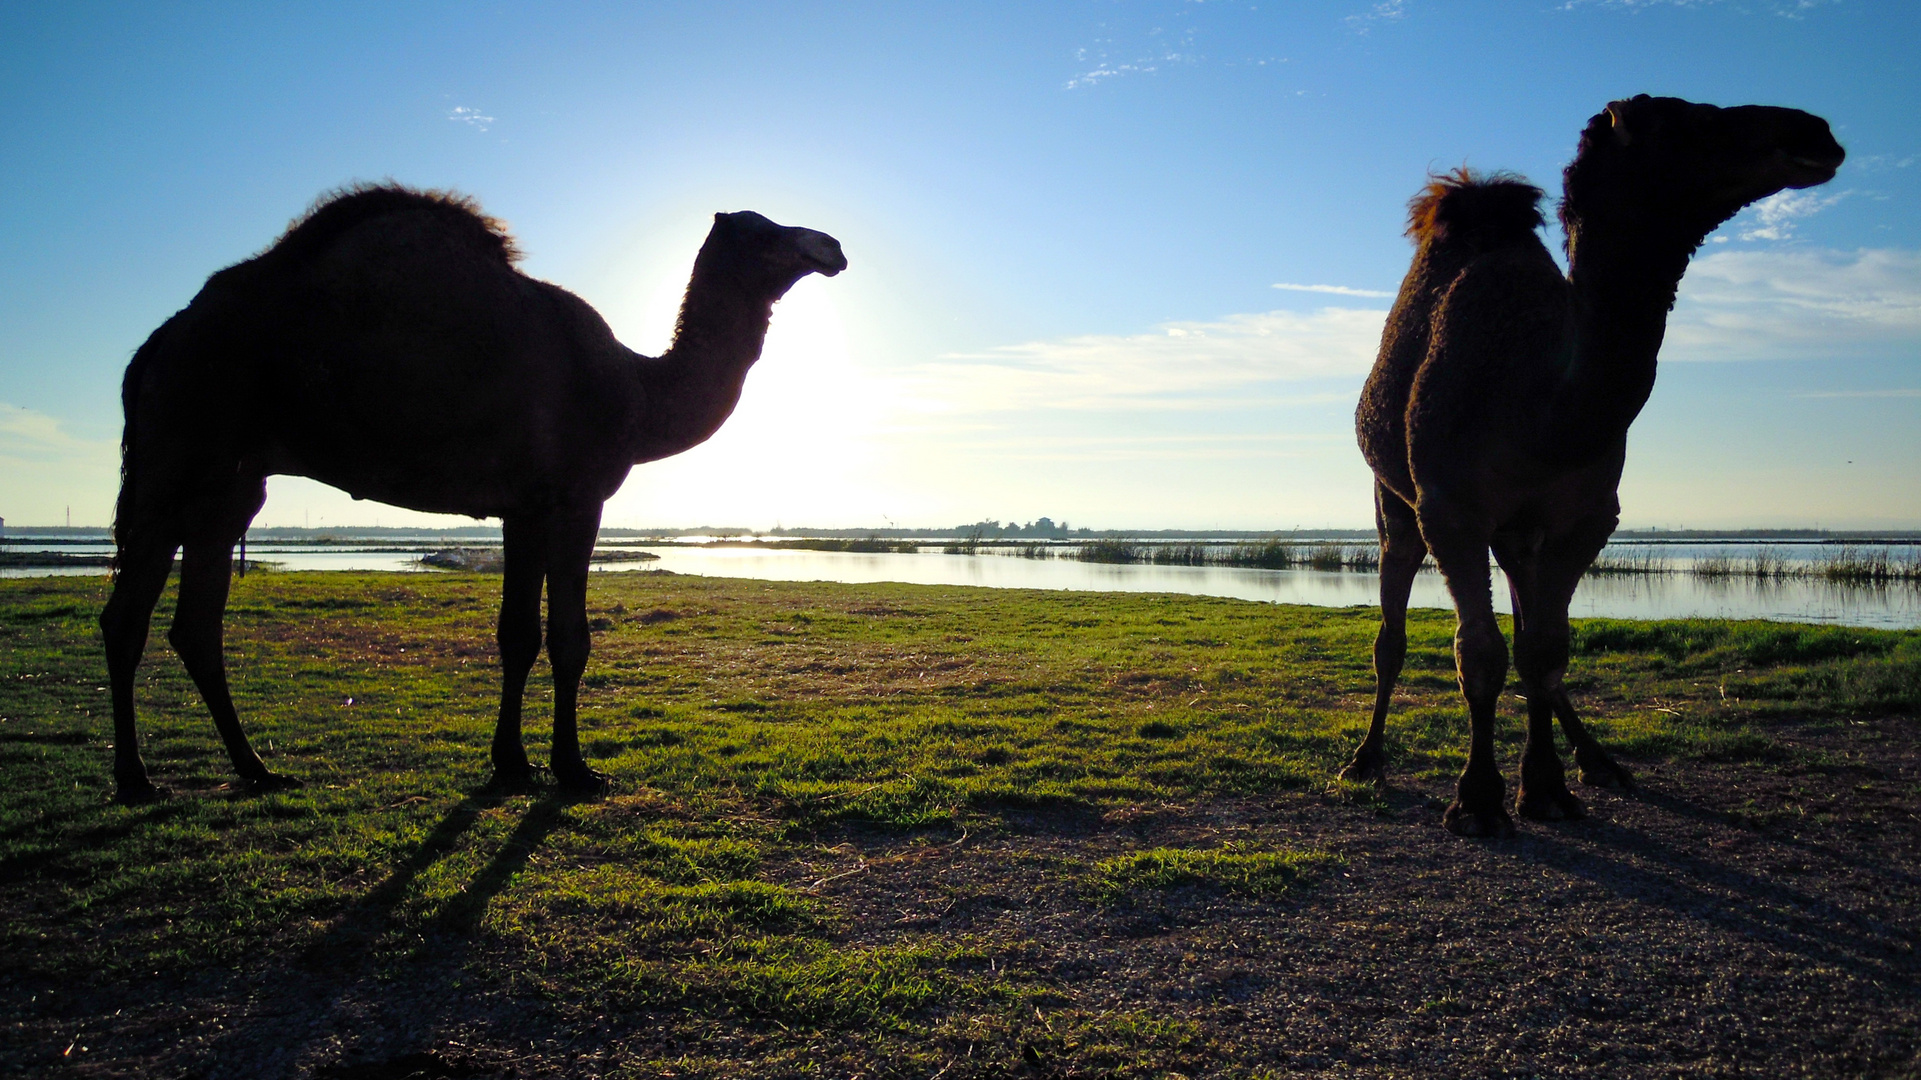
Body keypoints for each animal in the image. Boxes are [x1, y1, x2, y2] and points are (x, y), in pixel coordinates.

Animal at [99, 182, 849, 799]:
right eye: (762, 230)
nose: (831, 245)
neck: (639, 392)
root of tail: (153, 347)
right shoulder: (579, 496)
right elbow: (570, 636)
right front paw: (574, 769)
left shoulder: (524, 505)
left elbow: (516, 633)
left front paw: (511, 763)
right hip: (175, 457)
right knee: (126, 616)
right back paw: (135, 779)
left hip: (228, 483)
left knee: (197, 620)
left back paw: (256, 768)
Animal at [1337, 96, 1844, 834]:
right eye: (1682, 122)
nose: (1815, 131)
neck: (1545, 410)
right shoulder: (1450, 508)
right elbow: (1478, 652)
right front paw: (1478, 800)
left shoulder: (1586, 517)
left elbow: (1545, 651)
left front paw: (1545, 787)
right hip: (1392, 501)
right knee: (1392, 633)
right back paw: (1365, 759)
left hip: (1517, 533)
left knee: (1530, 631)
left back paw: (1597, 760)